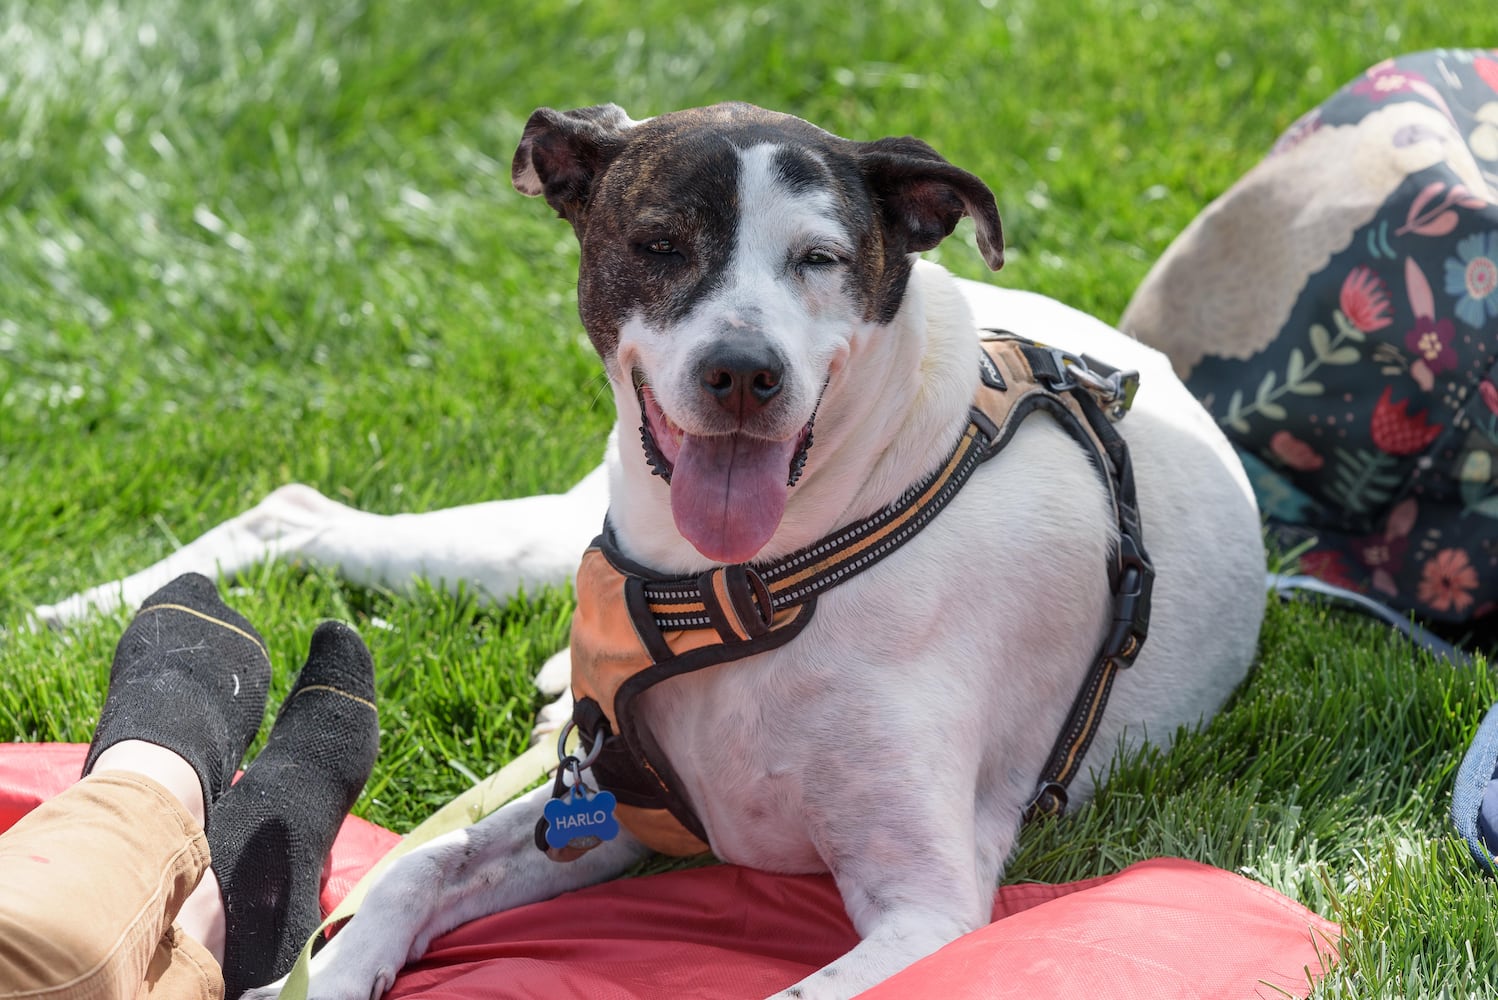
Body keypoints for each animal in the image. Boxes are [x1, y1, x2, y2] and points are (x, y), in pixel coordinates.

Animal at [38, 105, 1264, 994]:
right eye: (659, 244)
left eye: (821, 258)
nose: (742, 372)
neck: (748, 583)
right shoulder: (612, 811)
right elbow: (417, 866)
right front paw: (329, 973)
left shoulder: (927, 899)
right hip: (533, 540)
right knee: (290, 511)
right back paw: (79, 609)